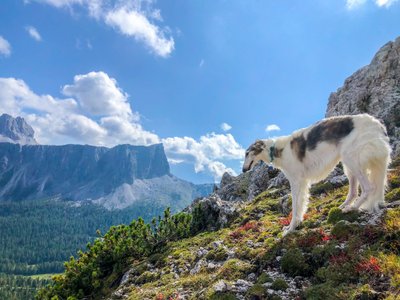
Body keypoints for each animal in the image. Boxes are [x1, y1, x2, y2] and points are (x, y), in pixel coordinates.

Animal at [242, 113, 392, 236]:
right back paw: (343, 206)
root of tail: (377, 124)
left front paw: (290, 228)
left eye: (247, 153)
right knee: (354, 192)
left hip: (352, 160)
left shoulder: (296, 181)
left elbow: (295, 207)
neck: (278, 150)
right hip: (349, 165)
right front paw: (295, 224)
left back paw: (352, 208)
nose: (243, 170)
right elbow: (301, 206)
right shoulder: (303, 182)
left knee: (369, 188)